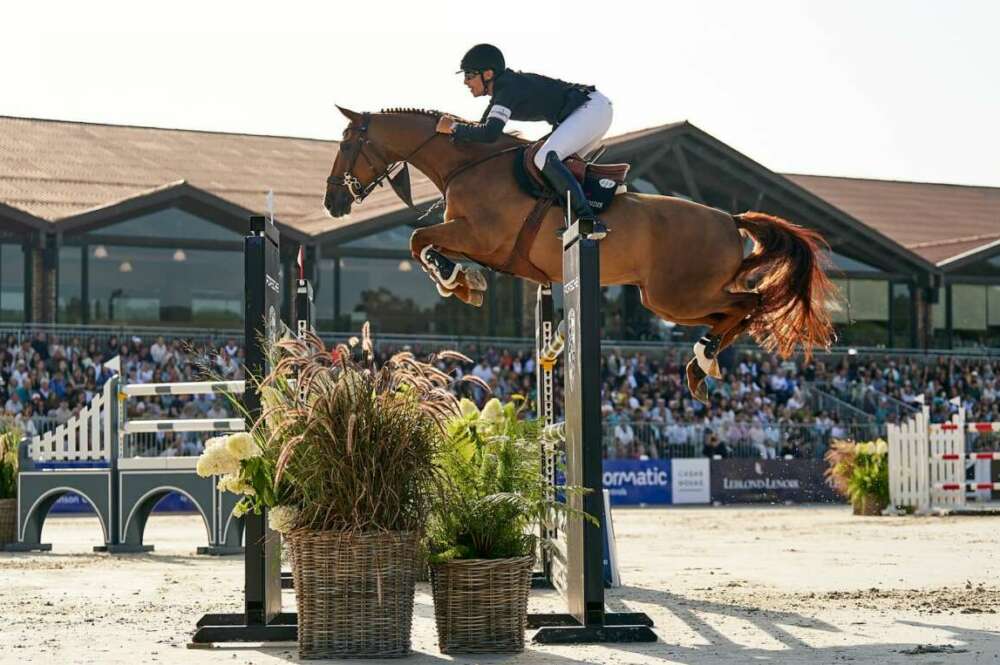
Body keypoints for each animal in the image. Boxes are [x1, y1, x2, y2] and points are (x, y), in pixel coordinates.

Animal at [322, 106, 836, 402]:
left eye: (347, 143)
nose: (333, 202)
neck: (470, 163)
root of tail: (729, 219)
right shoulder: (479, 244)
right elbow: (425, 245)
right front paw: (467, 283)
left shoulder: (479, 237)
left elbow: (417, 241)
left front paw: (457, 282)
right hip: (669, 299)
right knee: (734, 313)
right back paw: (698, 367)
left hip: (677, 295)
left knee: (749, 305)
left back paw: (703, 360)